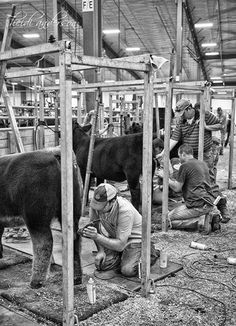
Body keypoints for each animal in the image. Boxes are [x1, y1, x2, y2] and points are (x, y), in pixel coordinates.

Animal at [0, 150, 82, 288]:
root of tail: (53, 153)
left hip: (35, 217)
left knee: (44, 243)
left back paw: (36, 281)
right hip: (73, 212)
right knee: (75, 241)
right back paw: (76, 279)